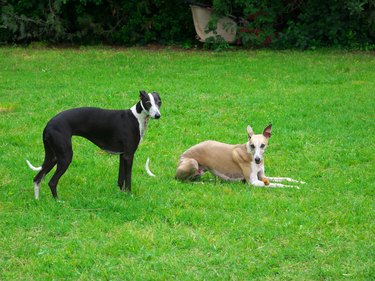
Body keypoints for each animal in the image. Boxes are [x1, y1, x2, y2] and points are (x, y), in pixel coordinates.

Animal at [26, 89, 162, 197]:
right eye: (148, 103)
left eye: (159, 102)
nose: (158, 115)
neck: (136, 117)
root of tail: (48, 125)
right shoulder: (129, 155)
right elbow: (128, 178)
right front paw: (129, 195)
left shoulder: (122, 155)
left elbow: (120, 179)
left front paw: (120, 194)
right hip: (65, 157)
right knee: (52, 182)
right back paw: (58, 201)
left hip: (53, 156)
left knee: (37, 178)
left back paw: (37, 200)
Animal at [177, 123, 306, 187]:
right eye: (252, 145)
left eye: (263, 145)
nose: (257, 160)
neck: (250, 154)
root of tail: (181, 156)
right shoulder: (253, 182)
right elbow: (276, 184)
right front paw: (293, 187)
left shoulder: (262, 176)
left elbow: (285, 178)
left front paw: (299, 182)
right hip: (192, 162)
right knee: (183, 181)